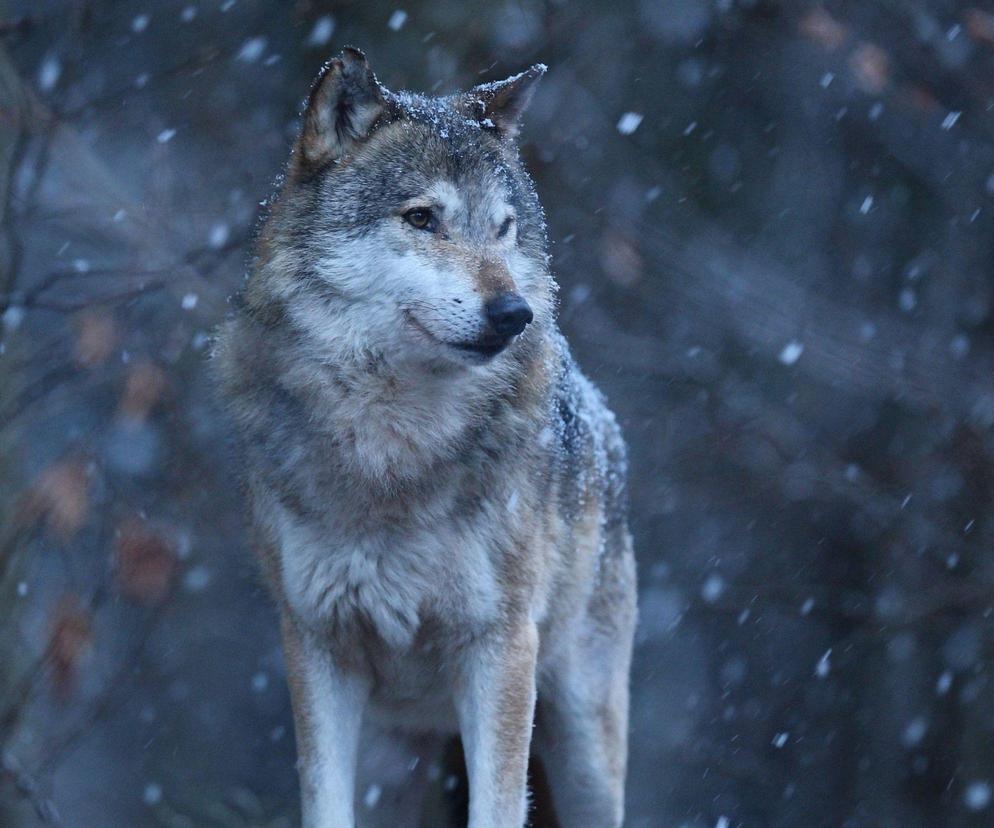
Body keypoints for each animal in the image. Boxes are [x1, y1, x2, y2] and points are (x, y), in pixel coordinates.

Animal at [213, 50, 640, 828]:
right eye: (422, 218)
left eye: (503, 228)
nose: (514, 313)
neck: (394, 449)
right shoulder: (316, 645)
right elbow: (321, 802)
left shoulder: (499, 646)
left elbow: (497, 810)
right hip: (393, 766)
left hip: (584, 750)